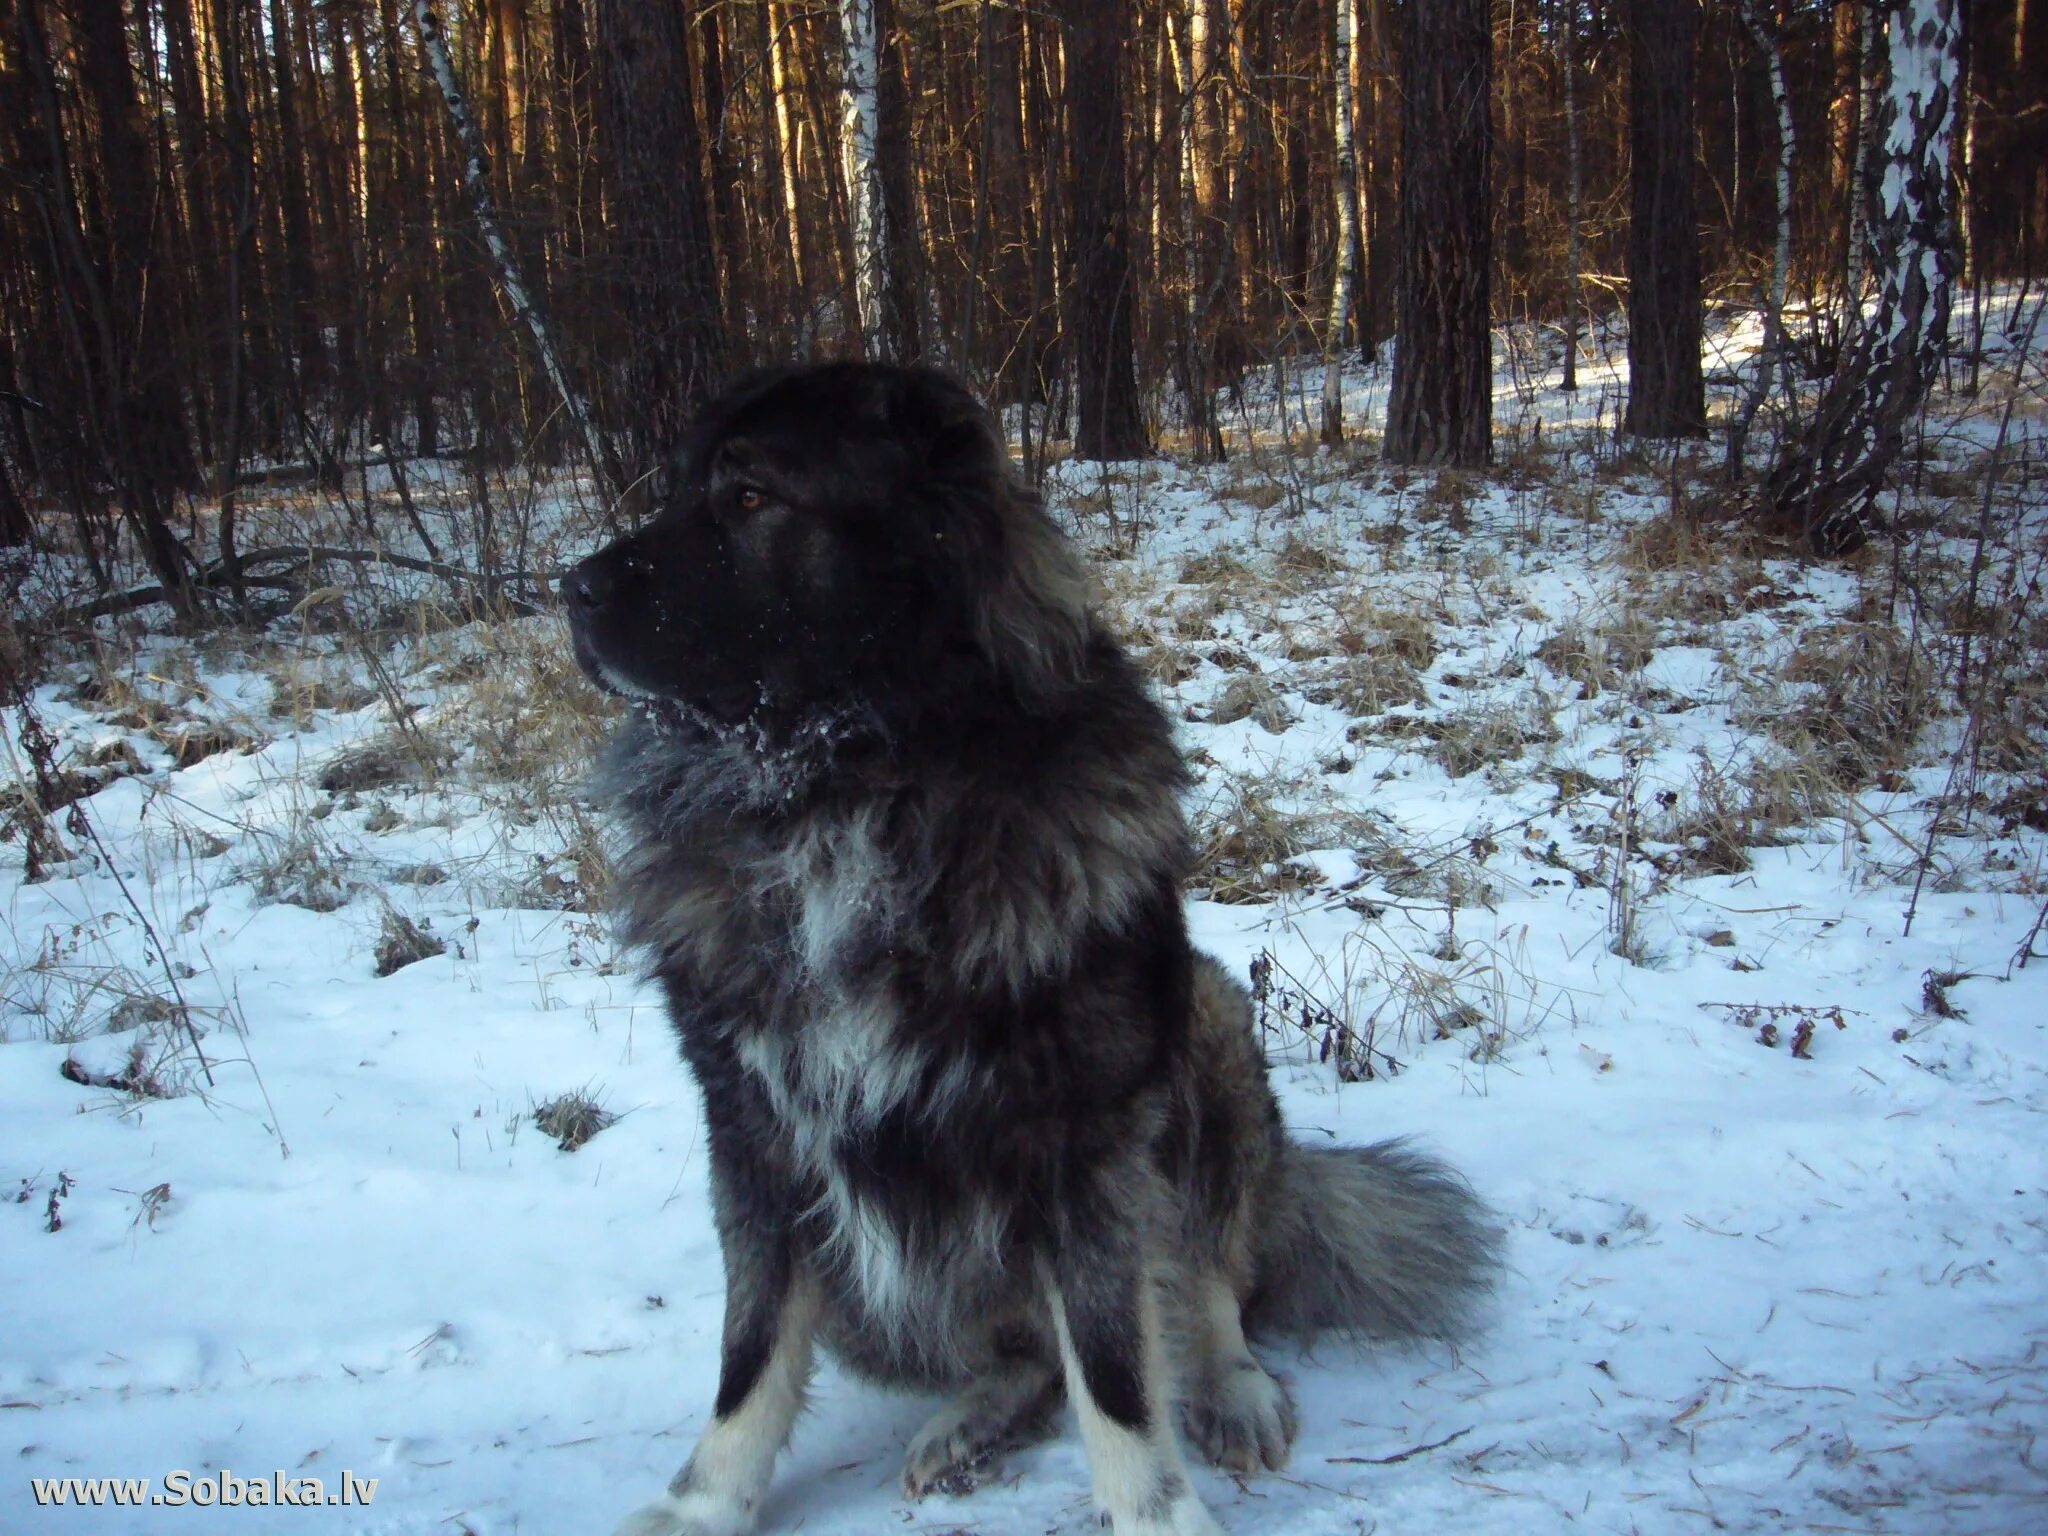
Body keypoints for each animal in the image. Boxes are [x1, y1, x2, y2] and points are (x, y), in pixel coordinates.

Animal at [569, 364, 1499, 1536]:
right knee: (1025, 1356)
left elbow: (1115, 1366)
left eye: (747, 499)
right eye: (676, 490)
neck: (849, 784)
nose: (567, 588)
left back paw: (1231, 1387)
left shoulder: (1083, 1144)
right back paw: (970, 1423)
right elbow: (752, 1350)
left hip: (1206, 1020)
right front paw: (703, 1503)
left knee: (1202, 1283)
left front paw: (1155, 1515)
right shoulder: (755, 1128)